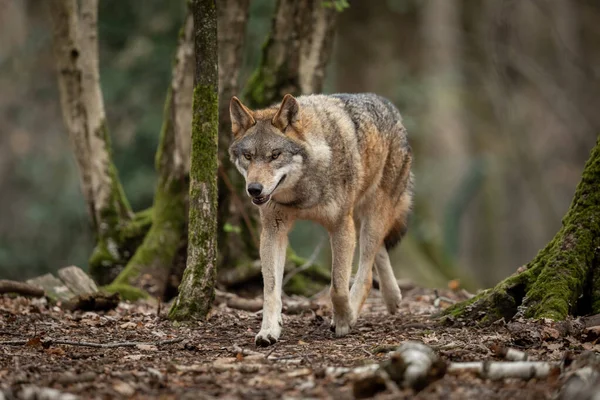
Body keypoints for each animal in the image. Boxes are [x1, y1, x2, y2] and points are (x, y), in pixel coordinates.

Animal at [229, 92, 412, 346]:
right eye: (248, 156)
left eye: (275, 155)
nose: (254, 189)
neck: (303, 195)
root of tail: (387, 104)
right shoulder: (273, 231)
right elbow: (271, 289)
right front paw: (269, 330)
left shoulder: (340, 226)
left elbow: (337, 286)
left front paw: (344, 320)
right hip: (359, 216)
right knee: (379, 251)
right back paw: (393, 297)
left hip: (372, 214)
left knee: (366, 272)